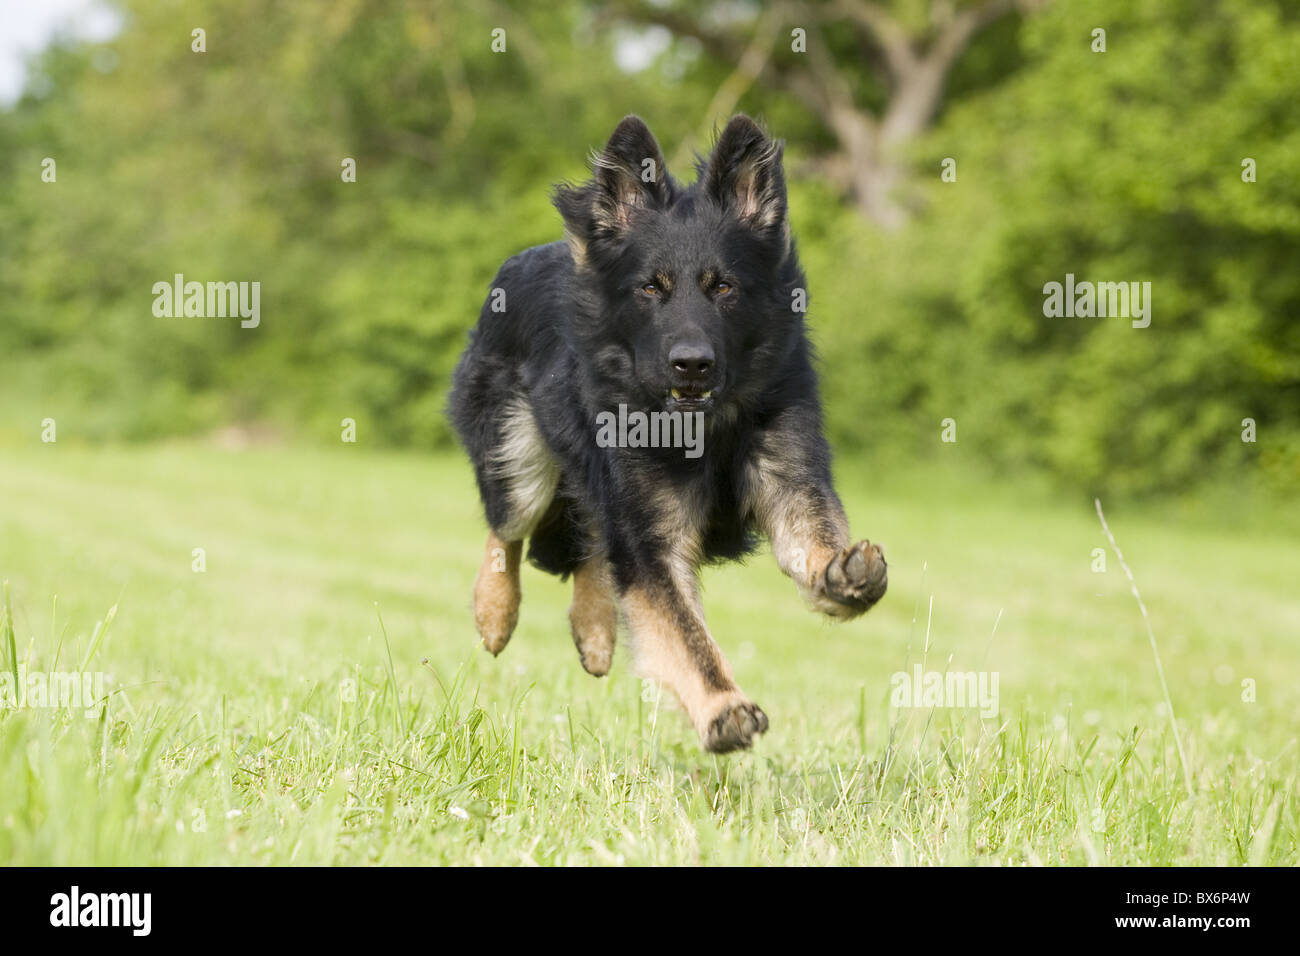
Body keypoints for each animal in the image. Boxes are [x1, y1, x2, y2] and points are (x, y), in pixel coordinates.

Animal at [452, 113, 889, 754]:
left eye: (723, 287)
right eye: (651, 288)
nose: (692, 364)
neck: (704, 429)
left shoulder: (789, 478)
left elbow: (813, 536)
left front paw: (842, 575)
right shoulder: (652, 537)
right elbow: (683, 632)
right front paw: (723, 707)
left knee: (594, 540)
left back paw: (594, 630)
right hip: (521, 461)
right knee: (507, 527)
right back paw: (494, 613)